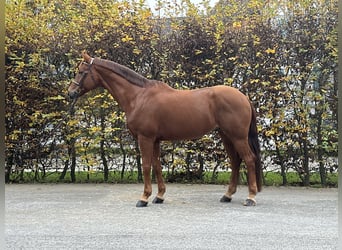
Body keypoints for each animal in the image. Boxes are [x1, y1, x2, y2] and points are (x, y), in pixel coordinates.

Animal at [69, 51, 262, 206]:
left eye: (81, 72)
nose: (70, 93)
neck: (138, 96)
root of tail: (243, 97)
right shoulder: (155, 140)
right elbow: (157, 165)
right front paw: (159, 196)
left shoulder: (145, 138)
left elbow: (146, 165)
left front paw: (144, 198)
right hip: (226, 136)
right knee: (235, 161)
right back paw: (227, 195)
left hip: (238, 137)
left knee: (249, 159)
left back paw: (251, 197)